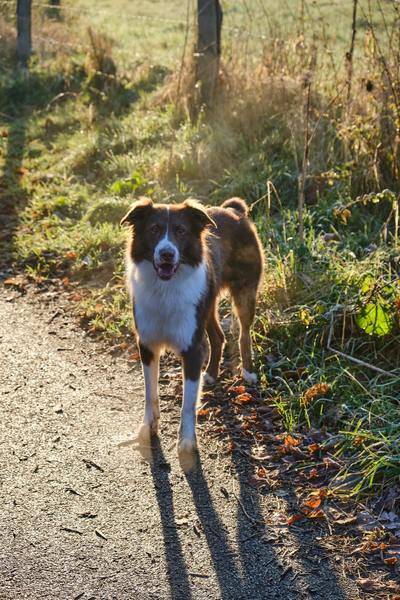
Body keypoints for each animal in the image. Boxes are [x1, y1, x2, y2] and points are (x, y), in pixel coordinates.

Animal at [121, 199, 266, 458]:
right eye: (154, 229)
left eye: (181, 230)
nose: (167, 254)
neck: (165, 289)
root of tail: (234, 211)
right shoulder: (147, 346)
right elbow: (150, 394)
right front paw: (149, 427)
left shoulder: (191, 350)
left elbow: (187, 404)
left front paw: (187, 442)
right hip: (206, 305)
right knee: (218, 337)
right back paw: (210, 373)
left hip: (244, 294)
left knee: (243, 334)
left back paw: (248, 371)